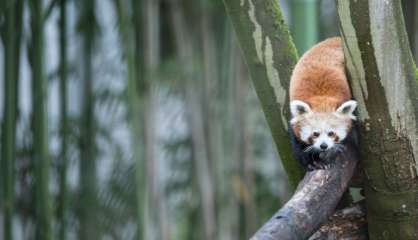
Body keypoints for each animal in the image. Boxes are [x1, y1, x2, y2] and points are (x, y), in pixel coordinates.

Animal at [290, 36, 358, 170]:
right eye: (315, 134)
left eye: (331, 133)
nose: (324, 146)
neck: (321, 96)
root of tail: (335, 38)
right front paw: (312, 161)